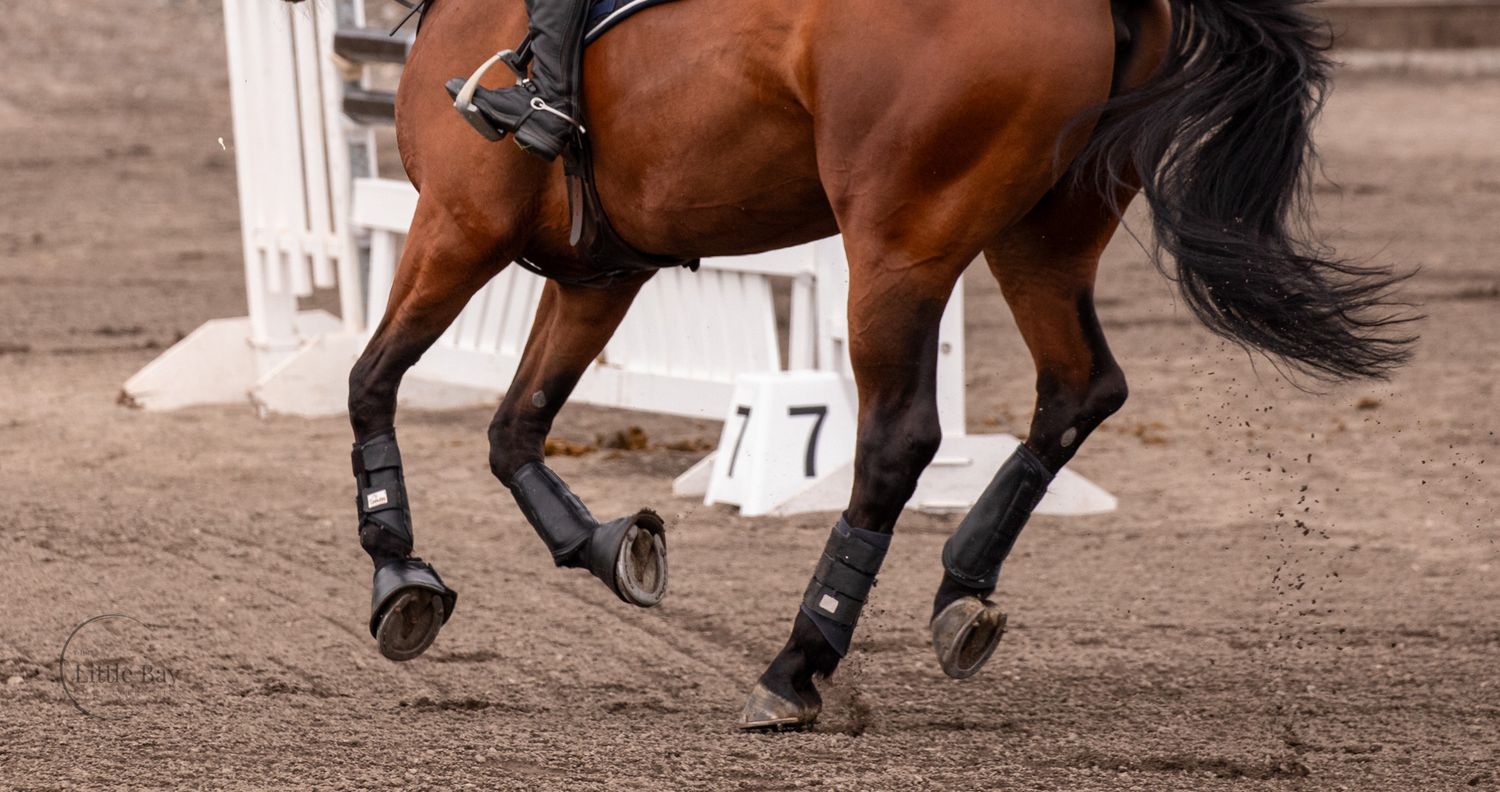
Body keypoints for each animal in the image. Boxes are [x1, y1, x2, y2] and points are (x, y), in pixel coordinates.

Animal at [325, 0, 1413, 729]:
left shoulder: (459, 225)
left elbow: (370, 382)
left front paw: (397, 575)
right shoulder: (601, 270)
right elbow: (513, 430)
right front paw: (607, 546)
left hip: (900, 246)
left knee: (899, 443)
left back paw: (799, 662)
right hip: (1045, 233)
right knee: (1081, 387)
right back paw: (960, 589)